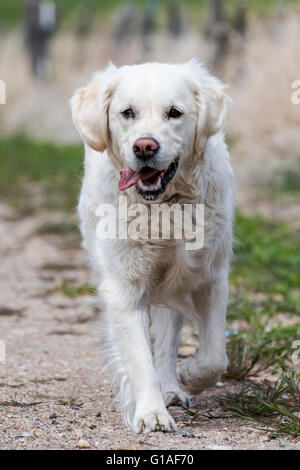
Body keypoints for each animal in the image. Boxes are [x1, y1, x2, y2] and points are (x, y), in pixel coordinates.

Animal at [71, 58, 234, 434]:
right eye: (127, 112)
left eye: (174, 113)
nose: (145, 147)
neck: (164, 208)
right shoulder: (125, 287)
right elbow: (138, 356)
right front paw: (151, 413)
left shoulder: (211, 275)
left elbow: (215, 356)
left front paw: (190, 375)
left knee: (168, 340)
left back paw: (172, 386)